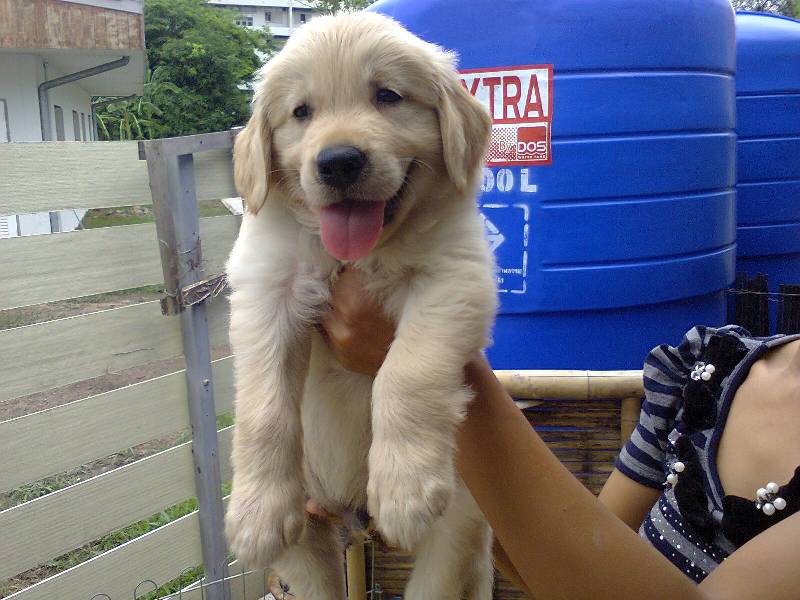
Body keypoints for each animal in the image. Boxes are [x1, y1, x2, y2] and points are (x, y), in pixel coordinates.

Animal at [225, 12, 497, 599]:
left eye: (387, 96)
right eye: (301, 111)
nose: (339, 162)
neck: (360, 254)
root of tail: (348, 512)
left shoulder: (454, 276)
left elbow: (406, 374)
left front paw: (405, 485)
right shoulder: (266, 287)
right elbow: (263, 406)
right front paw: (255, 513)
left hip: (459, 519)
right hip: (306, 534)